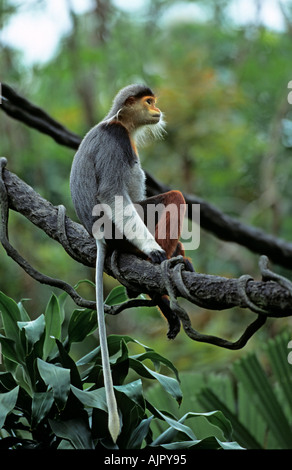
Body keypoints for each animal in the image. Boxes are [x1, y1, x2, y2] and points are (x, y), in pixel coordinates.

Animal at [68, 85, 192, 444]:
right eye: (149, 102)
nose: (157, 110)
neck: (121, 123)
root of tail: (99, 238)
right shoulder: (116, 139)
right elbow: (113, 194)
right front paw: (155, 252)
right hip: (119, 233)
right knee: (173, 198)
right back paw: (157, 278)